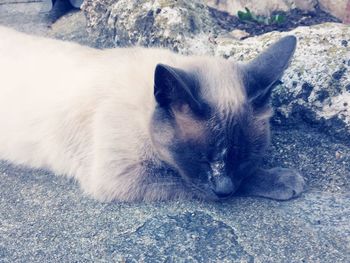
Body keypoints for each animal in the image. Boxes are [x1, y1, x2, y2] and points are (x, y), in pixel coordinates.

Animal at [0, 26, 304, 203]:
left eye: (244, 159)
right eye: (201, 160)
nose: (223, 190)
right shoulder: (121, 176)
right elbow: (186, 180)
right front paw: (284, 181)